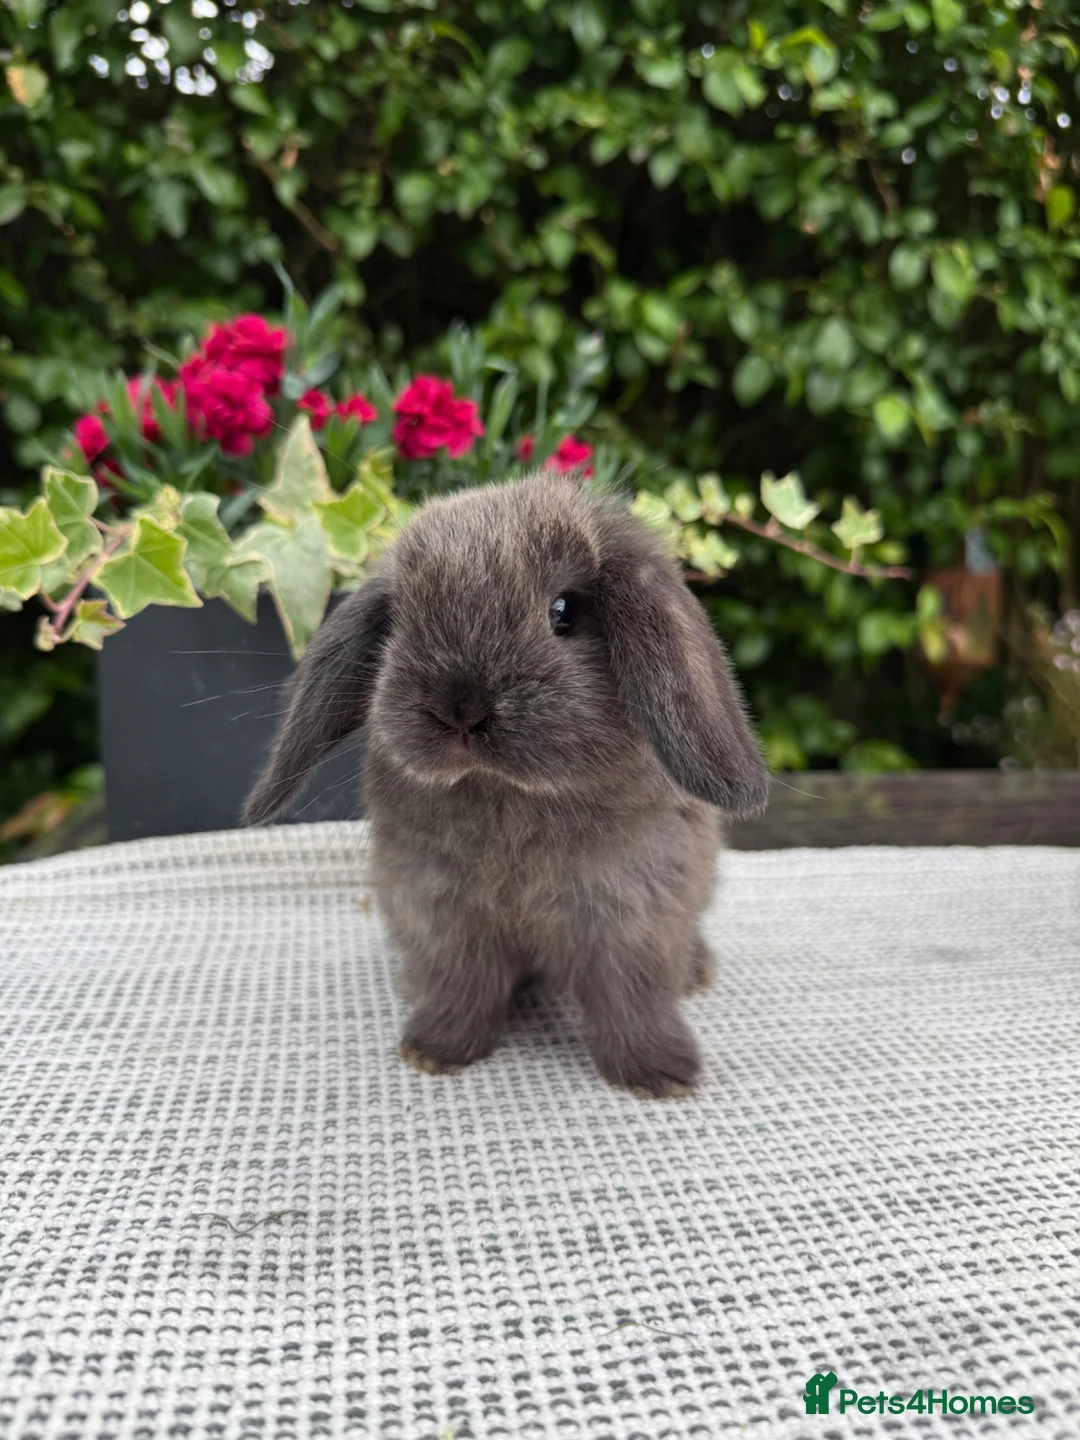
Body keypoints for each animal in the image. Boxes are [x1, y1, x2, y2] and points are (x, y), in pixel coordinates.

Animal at [243, 470, 769, 1097]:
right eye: (397, 622)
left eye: (564, 611)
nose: (460, 709)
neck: (509, 796)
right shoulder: (442, 911)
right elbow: (463, 986)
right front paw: (435, 1049)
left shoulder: (631, 914)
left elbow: (630, 996)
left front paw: (658, 1072)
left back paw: (697, 971)